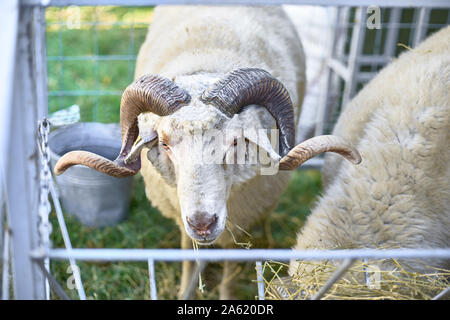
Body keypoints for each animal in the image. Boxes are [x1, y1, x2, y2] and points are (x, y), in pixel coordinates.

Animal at [53, 5, 362, 300]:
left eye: (235, 142)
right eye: (164, 143)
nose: (202, 223)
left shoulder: (238, 222)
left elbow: (231, 272)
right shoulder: (183, 217)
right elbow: (189, 259)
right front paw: (184, 291)